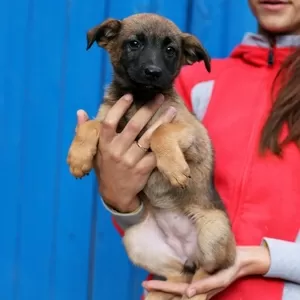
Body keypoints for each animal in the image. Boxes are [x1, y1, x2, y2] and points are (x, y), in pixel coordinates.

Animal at [67, 12, 236, 298]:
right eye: (134, 44)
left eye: (170, 50)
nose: (153, 72)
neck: (139, 99)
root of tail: (187, 252)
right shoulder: (109, 121)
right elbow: (90, 124)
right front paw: (78, 157)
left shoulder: (193, 133)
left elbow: (160, 132)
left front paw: (175, 169)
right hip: (138, 241)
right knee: (178, 277)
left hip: (214, 231)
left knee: (207, 273)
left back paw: (198, 289)